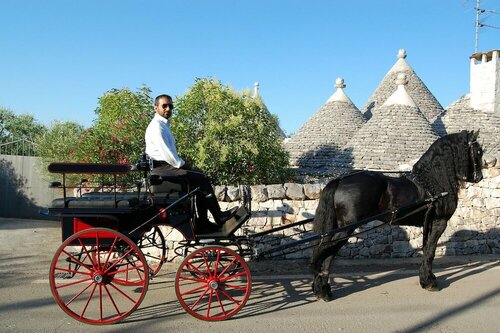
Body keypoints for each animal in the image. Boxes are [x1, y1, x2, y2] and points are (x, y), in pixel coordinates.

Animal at [310, 130, 482, 300]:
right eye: (478, 151)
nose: (479, 177)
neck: (432, 182)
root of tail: (340, 179)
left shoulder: (429, 223)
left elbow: (426, 249)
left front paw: (425, 279)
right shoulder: (439, 222)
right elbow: (431, 250)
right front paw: (430, 282)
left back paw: (321, 288)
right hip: (346, 228)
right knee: (326, 252)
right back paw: (323, 290)